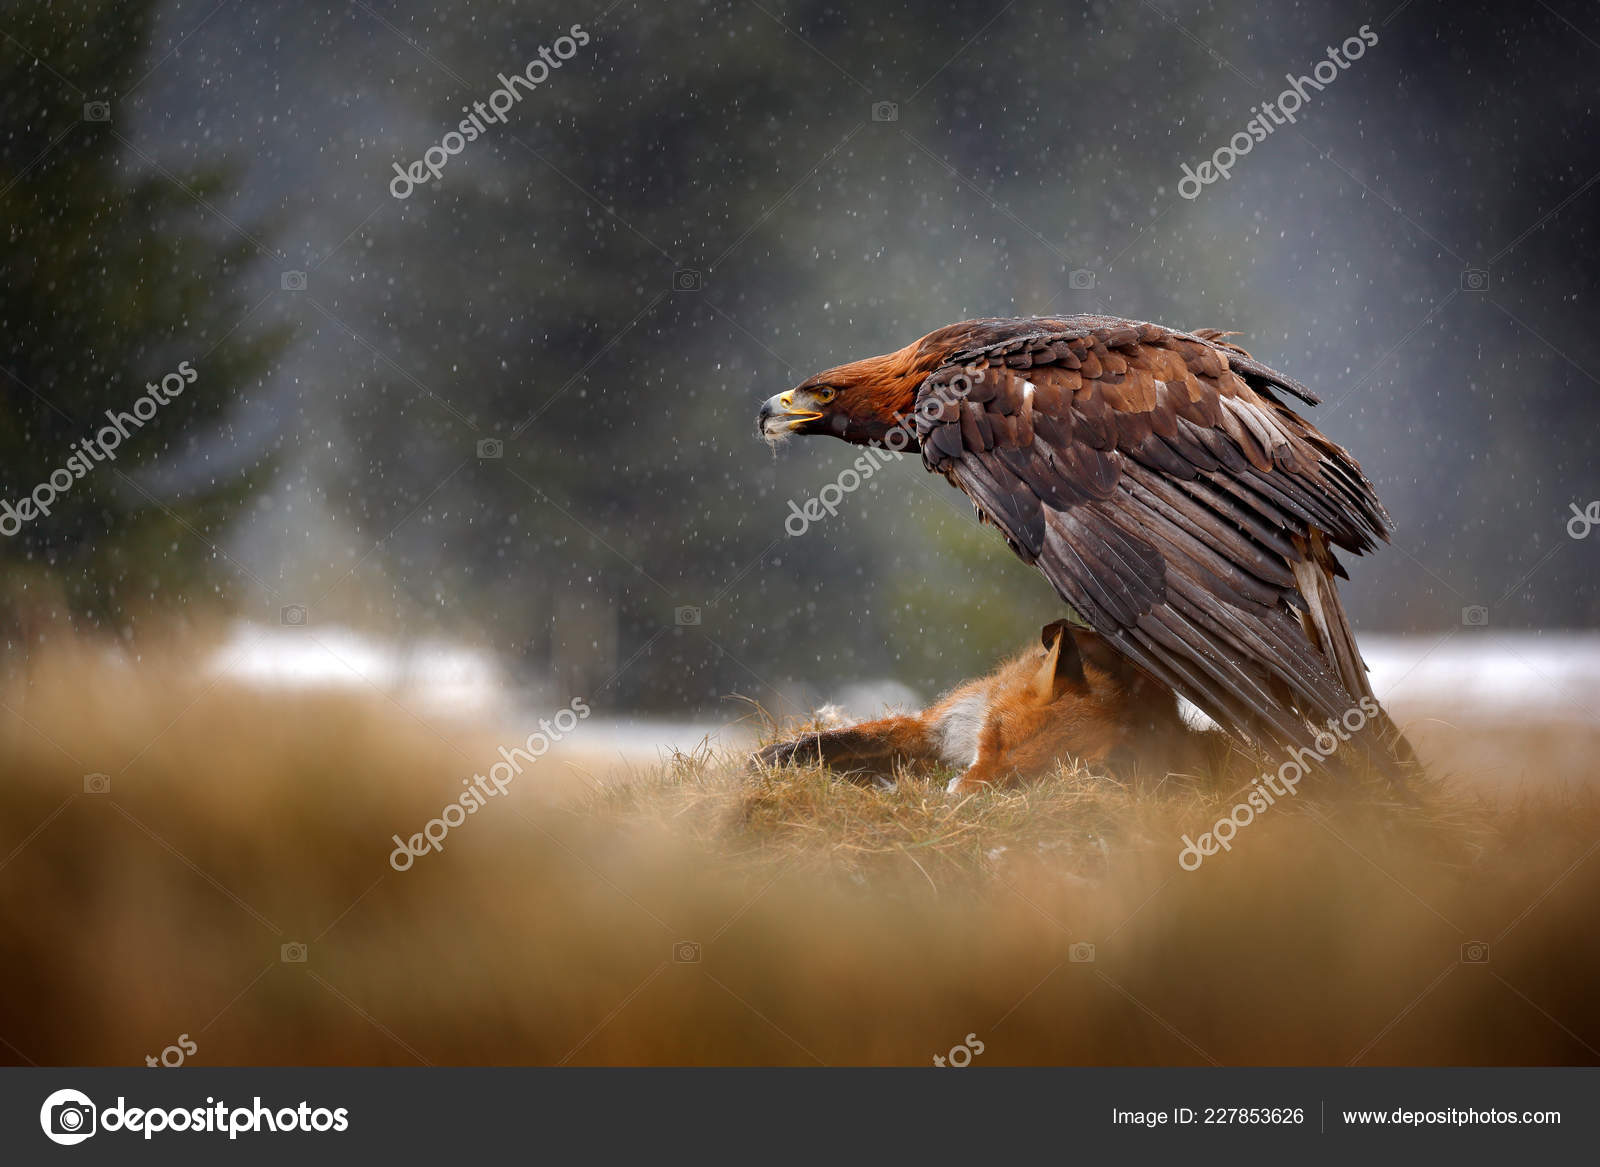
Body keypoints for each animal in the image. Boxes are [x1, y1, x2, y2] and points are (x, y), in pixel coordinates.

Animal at [754, 620, 1227, 793]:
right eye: (995, 737)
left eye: (1022, 778)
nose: (955, 795)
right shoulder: (941, 728)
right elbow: (852, 737)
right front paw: (781, 755)